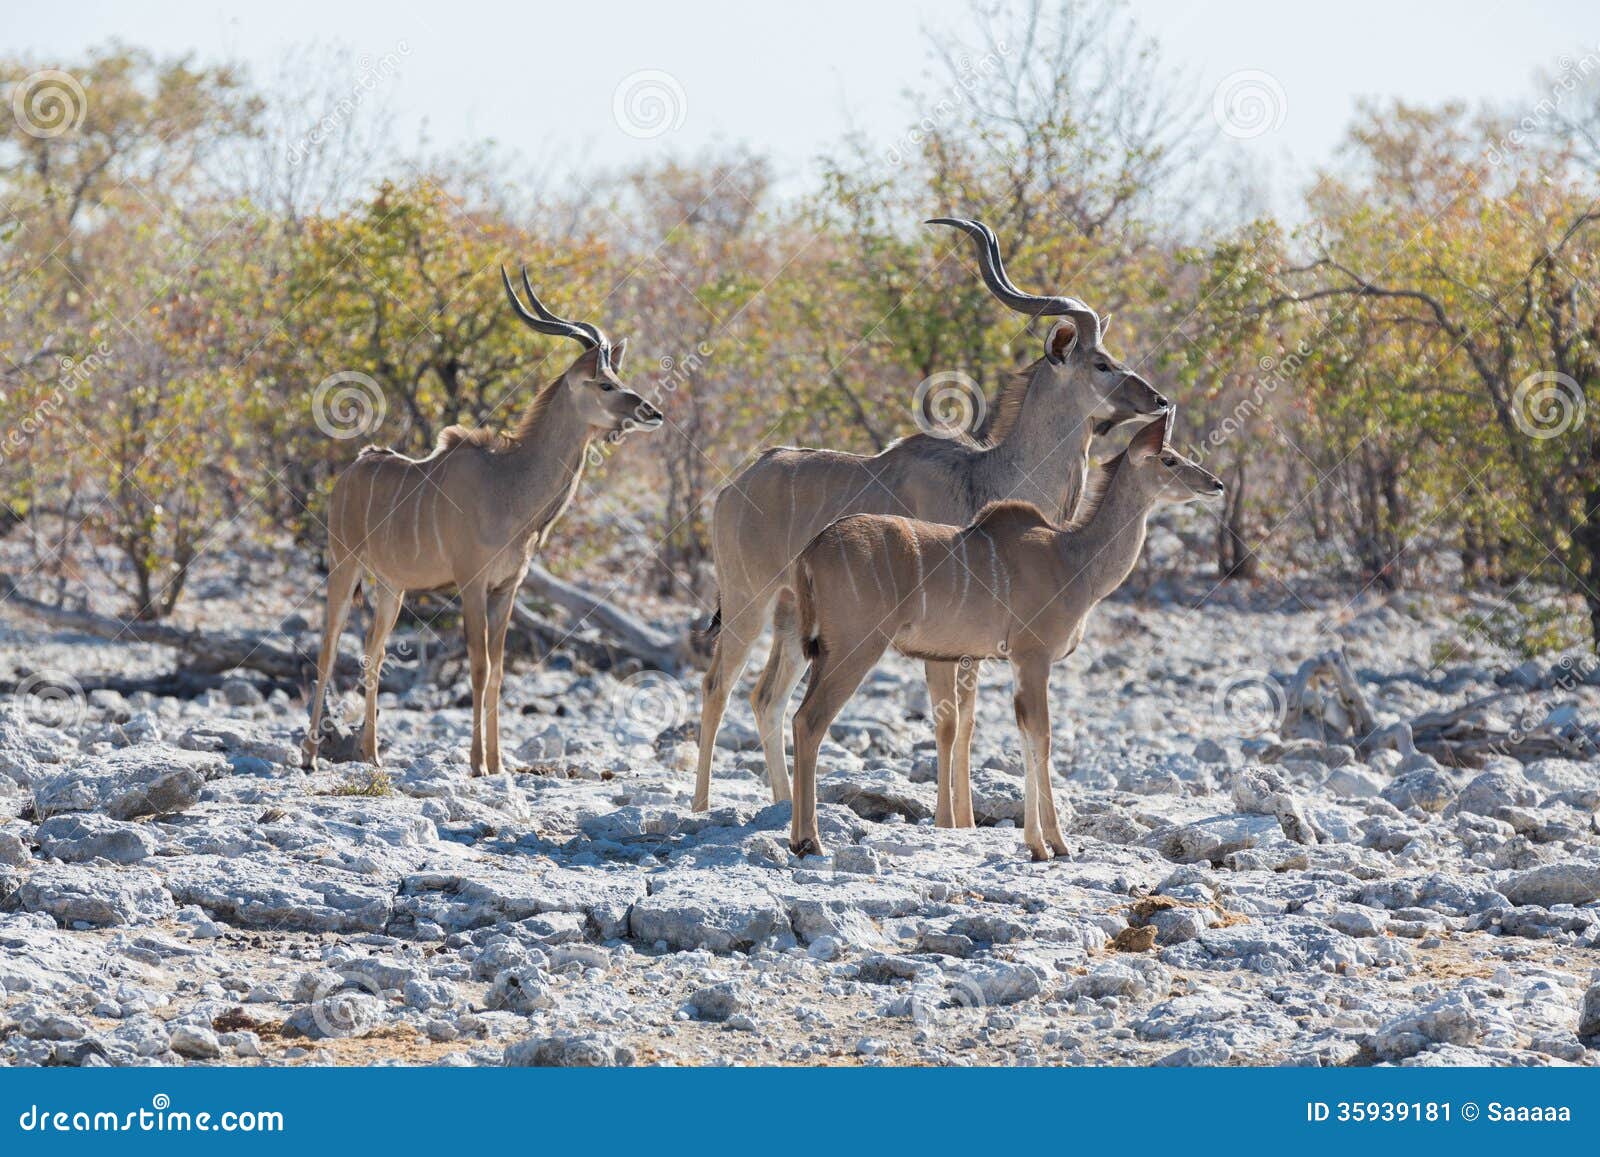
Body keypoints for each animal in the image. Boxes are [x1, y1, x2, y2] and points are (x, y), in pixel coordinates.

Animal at [302, 268, 663, 776]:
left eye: (619, 375)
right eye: (606, 384)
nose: (651, 412)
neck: (508, 485)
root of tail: (351, 469)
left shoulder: (506, 588)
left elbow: (499, 672)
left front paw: (498, 763)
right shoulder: (472, 584)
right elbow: (480, 666)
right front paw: (477, 763)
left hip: (391, 587)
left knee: (373, 652)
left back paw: (371, 755)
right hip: (343, 565)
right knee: (328, 647)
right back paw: (311, 755)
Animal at [694, 218, 1169, 828]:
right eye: (1102, 363)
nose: (1158, 399)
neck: (986, 477)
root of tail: (734, 486)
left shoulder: (972, 642)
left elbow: (966, 724)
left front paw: (962, 820)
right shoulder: (948, 640)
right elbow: (948, 723)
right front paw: (951, 823)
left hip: (791, 618)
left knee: (766, 697)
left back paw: (780, 805)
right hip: (748, 602)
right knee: (718, 686)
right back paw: (702, 805)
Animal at [789, 410, 1223, 859]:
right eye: (1169, 459)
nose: (1215, 484)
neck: (1074, 560)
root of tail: (812, 549)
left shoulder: (1015, 661)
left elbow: (1023, 734)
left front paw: (1039, 843)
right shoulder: (1034, 656)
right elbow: (1041, 737)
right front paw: (1052, 844)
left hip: (826, 652)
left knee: (798, 716)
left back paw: (797, 838)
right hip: (857, 647)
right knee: (809, 719)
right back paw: (811, 840)